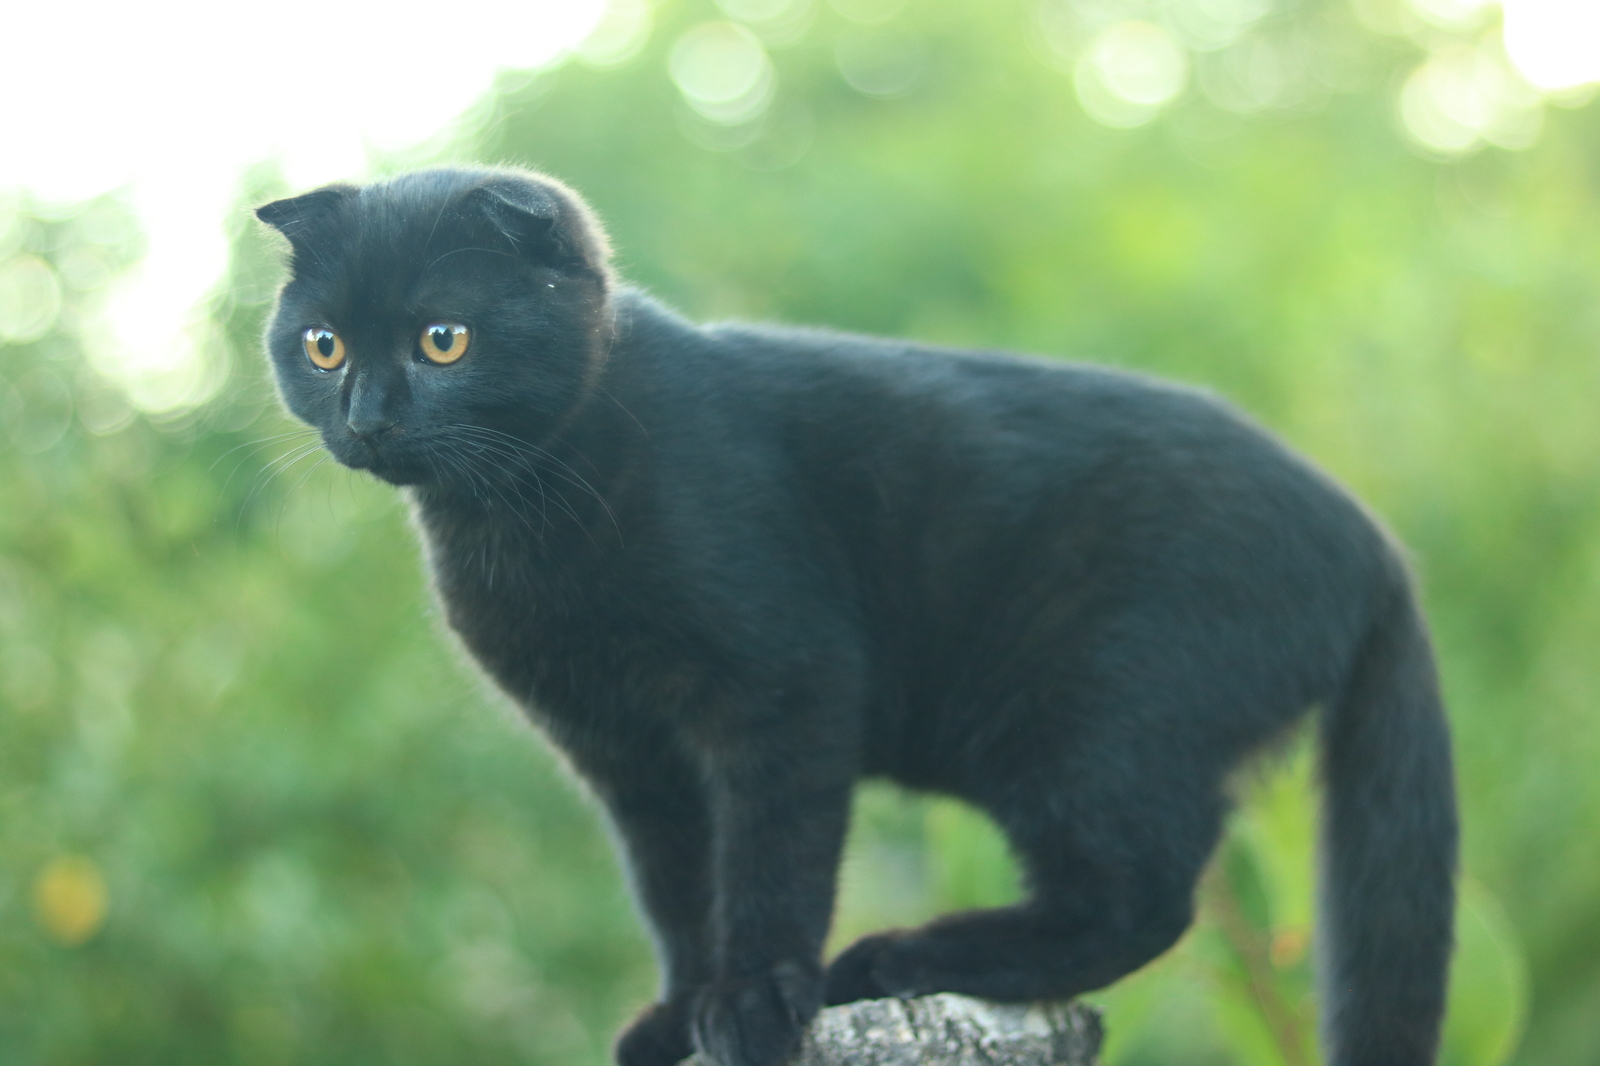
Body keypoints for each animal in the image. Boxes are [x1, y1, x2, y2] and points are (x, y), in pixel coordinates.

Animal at [256, 166, 1459, 1062]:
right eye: (323, 345)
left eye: (443, 339)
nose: (367, 416)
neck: (523, 527)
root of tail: (1376, 549)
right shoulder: (624, 751)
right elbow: (675, 886)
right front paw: (680, 1012)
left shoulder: (784, 684)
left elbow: (768, 855)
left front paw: (751, 1001)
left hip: (1094, 715)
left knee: (1142, 899)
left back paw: (908, 956)